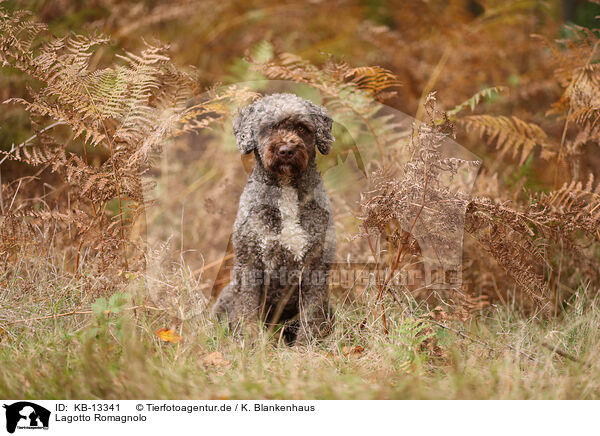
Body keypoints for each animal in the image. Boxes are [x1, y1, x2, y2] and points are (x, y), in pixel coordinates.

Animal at [213, 93, 338, 344]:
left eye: (302, 127)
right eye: (269, 127)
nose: (287, 149)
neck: (286, 190)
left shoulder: (316, 266)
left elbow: (311, 315)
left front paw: (306, 346)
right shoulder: (250, 263)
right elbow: (248, 309)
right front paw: (251, 342)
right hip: (227, 295)